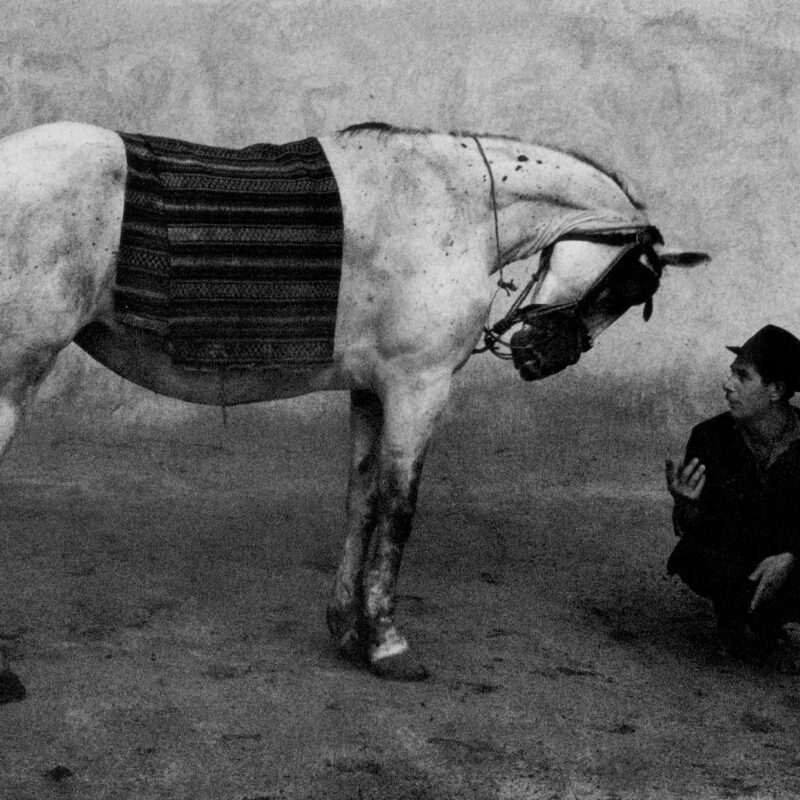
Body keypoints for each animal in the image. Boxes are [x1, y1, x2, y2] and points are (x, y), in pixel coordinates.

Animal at [0, 120, 708, 688]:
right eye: (627, 284)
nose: (542, 356)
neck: (454, 203)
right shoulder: (418, 386)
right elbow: (398, 509)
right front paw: (388, 643)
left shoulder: (372, 389)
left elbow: (362, 500)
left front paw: (347, 628)